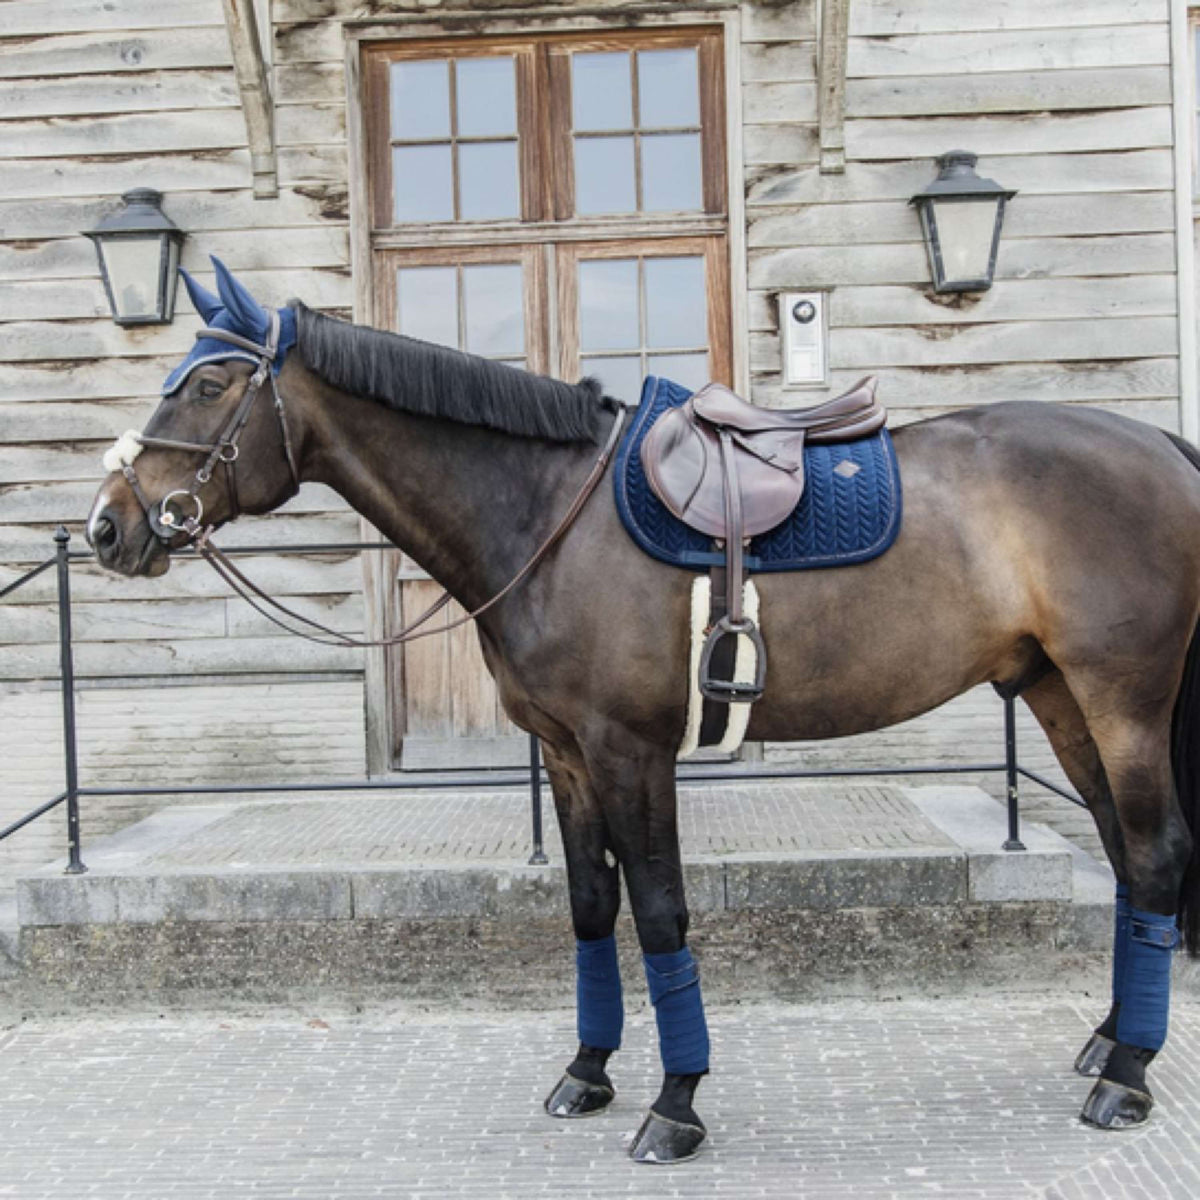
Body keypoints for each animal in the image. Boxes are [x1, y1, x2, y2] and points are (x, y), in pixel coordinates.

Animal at [87, 260, 1200, 1161]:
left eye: (210, 383)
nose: (107, 525)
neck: (547, 512)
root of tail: (1160, 446)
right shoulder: (568, 755)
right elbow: (590, 909)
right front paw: (587, 1070)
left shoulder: (632, 752)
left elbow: (660, 912)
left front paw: (677, 1102)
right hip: (1060, 697)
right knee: (1121, 854)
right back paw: (1109, 1040)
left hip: (1123, 701)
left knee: (1155, 856)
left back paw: (1126, 1079)